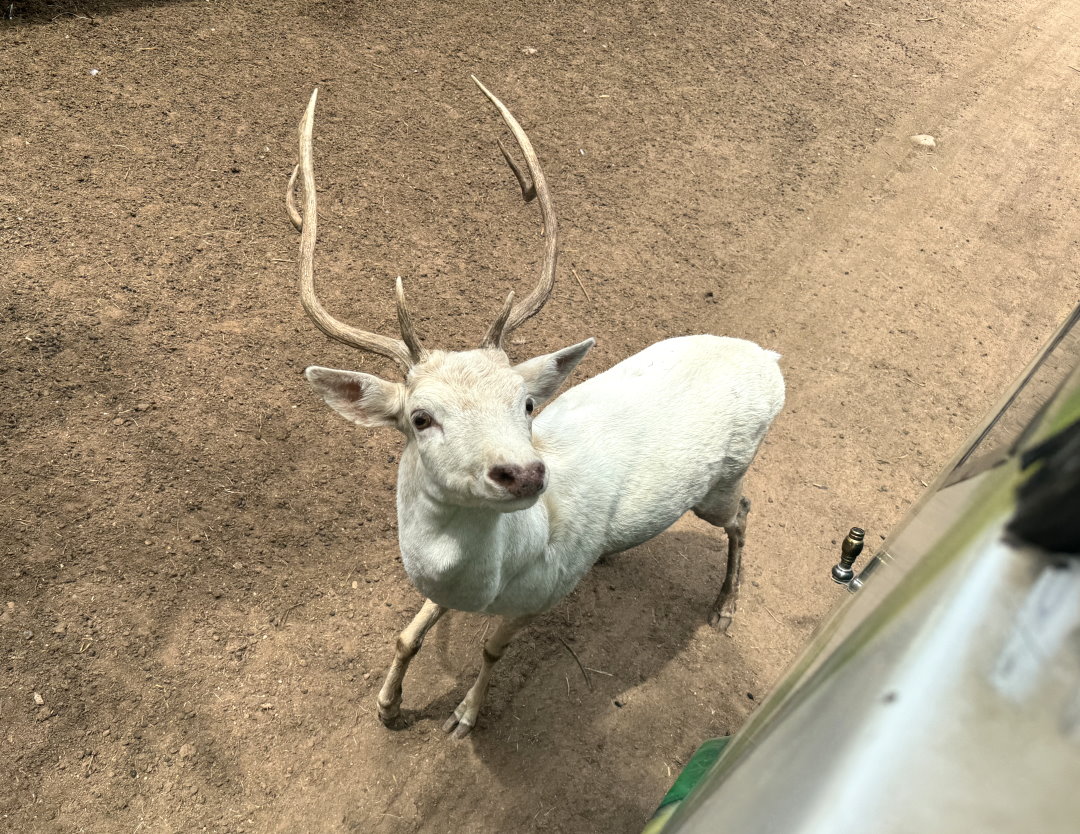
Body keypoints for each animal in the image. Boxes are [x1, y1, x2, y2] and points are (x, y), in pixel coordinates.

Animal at [286, 78, 785, 739]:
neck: (505, 570)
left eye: (525, 404)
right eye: (420, 418)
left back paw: (724, 609)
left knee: (744, 514)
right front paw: (388, 707)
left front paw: (464, 717)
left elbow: (493, 648)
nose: (522, 473)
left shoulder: (548, 591)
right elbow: (406, 635)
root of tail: (769, 360)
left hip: (724, 479)